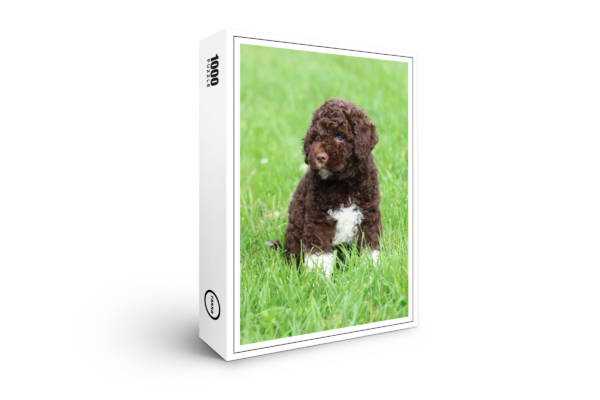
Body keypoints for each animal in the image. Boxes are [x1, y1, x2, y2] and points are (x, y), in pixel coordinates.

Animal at [267, 98, 382, 277]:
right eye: (315, 138)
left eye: (340, 136)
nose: (320, 156)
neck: (342, 182)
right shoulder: (318, 218)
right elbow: (318, 254)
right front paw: (318, 278)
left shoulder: (368, 213)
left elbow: (369, 247)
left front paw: (370, 271)